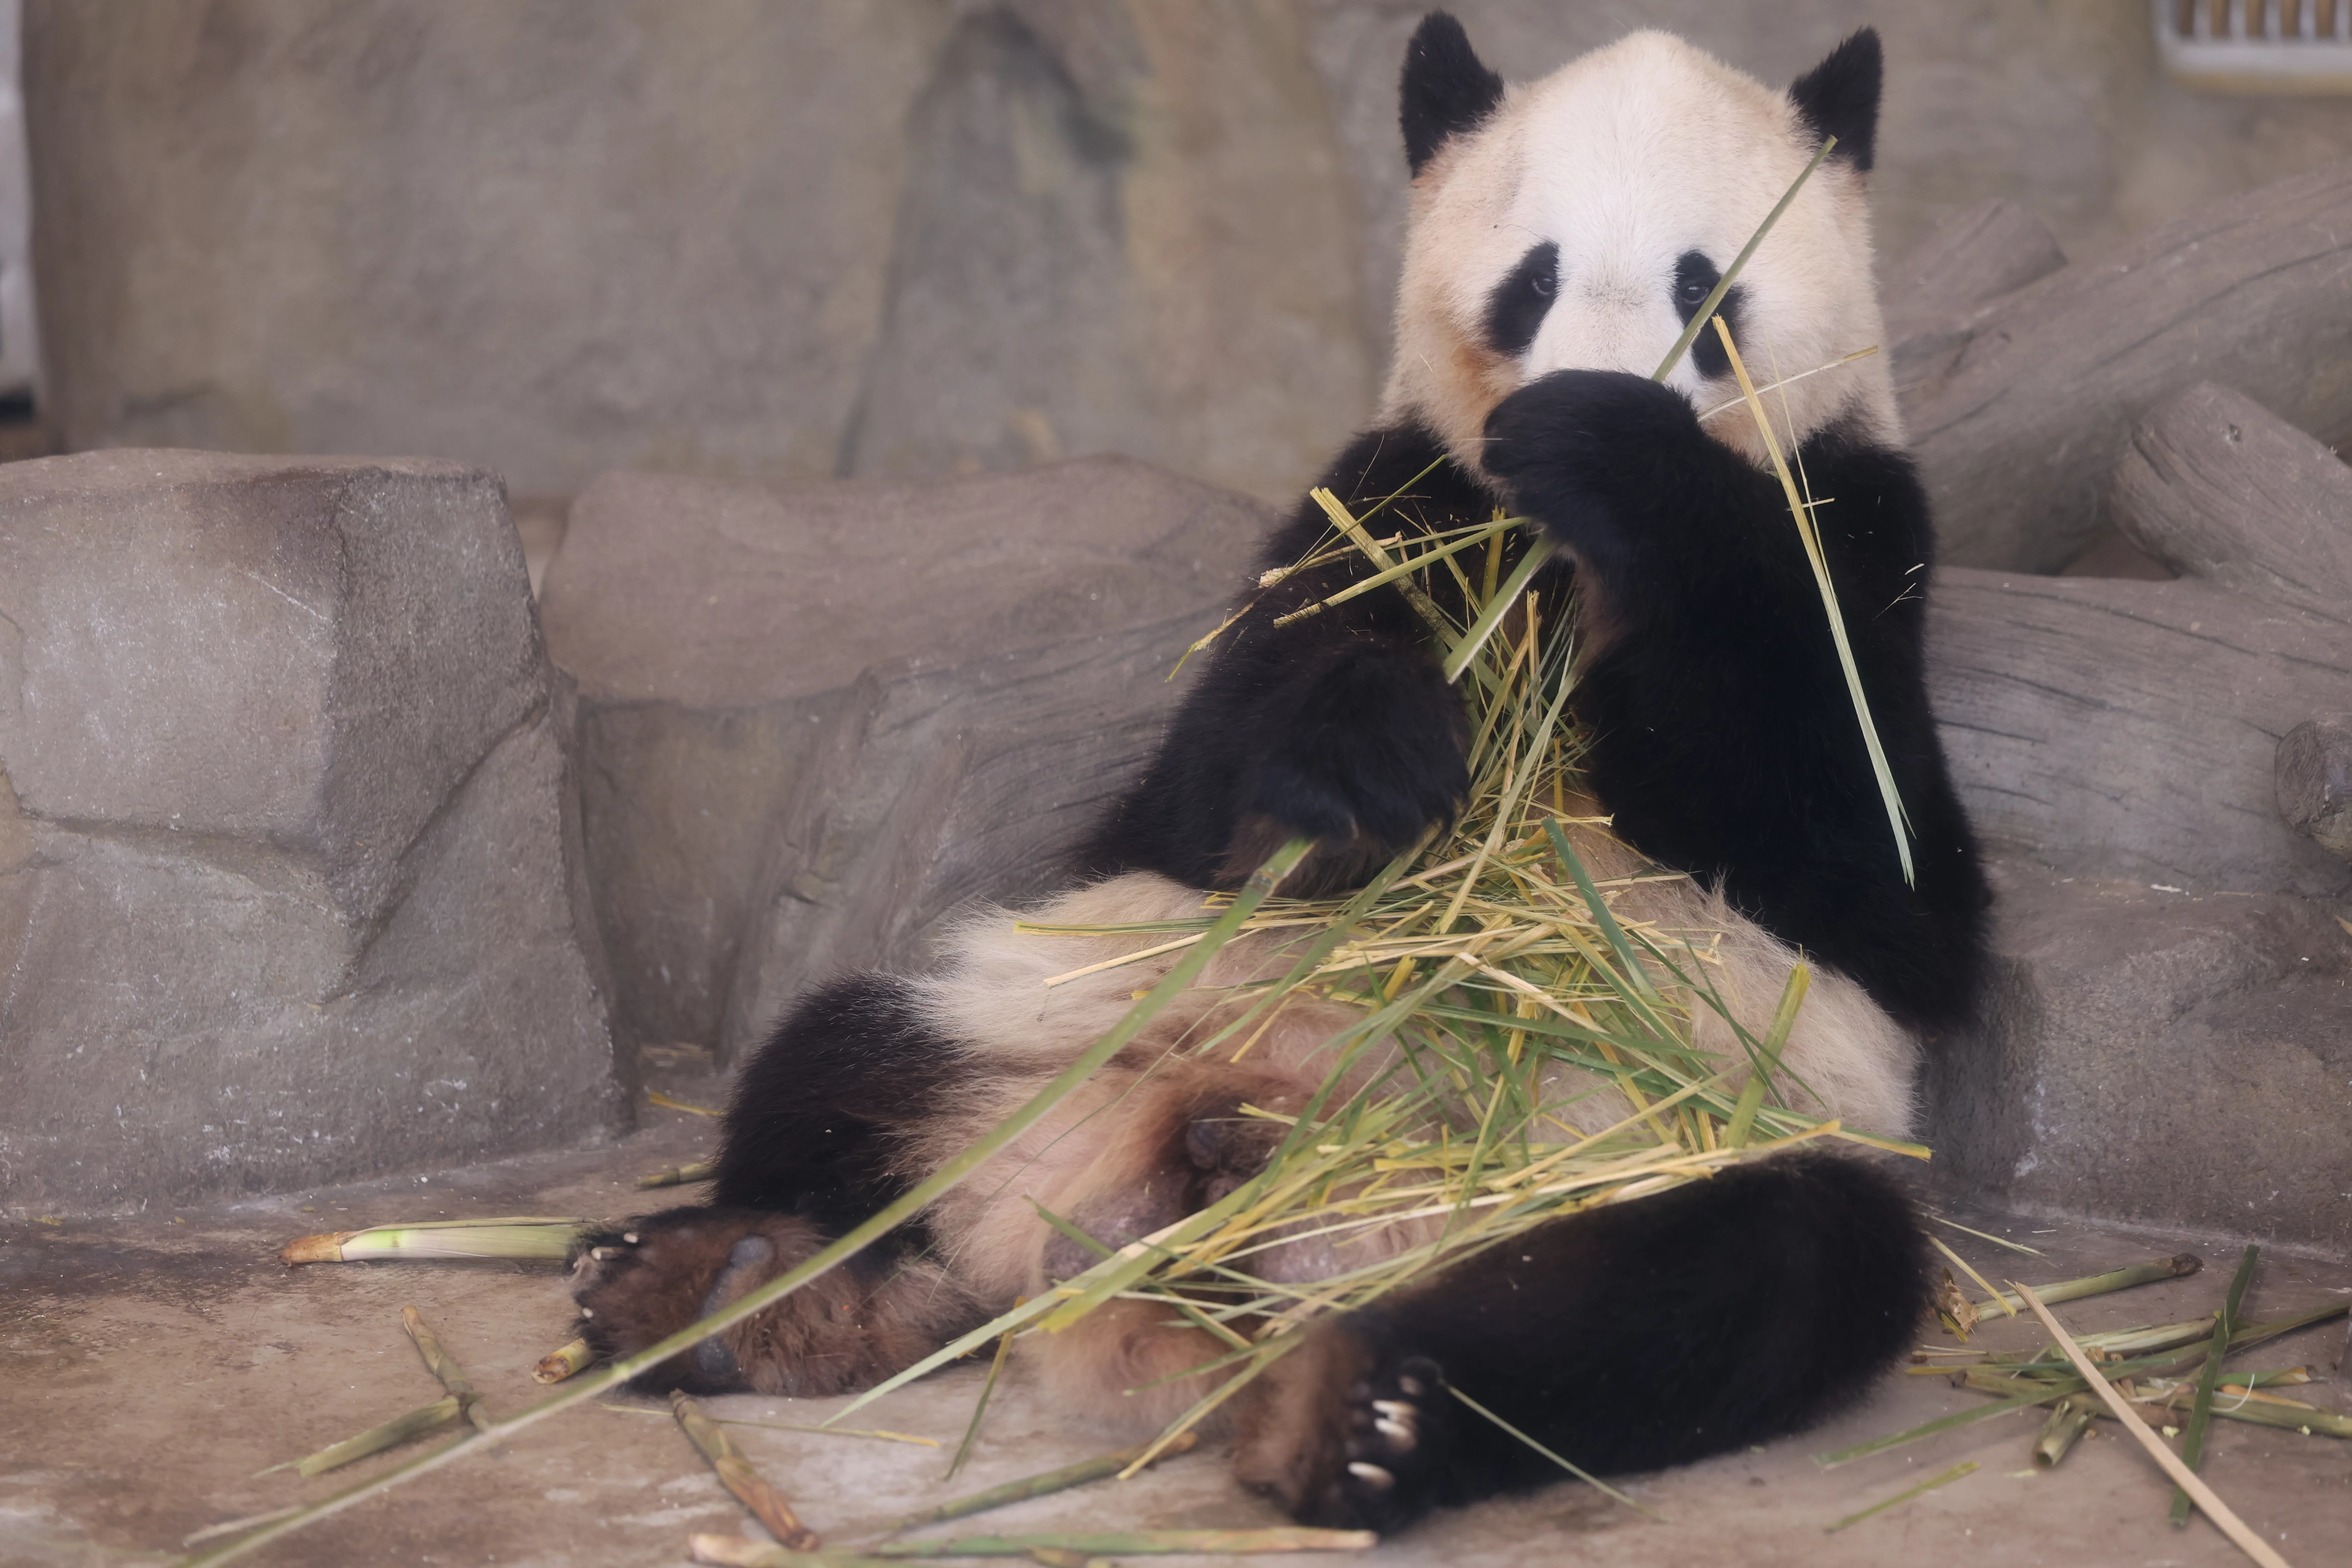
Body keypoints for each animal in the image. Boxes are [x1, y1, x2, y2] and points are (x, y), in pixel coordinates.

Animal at [572, 13, 1991, 1532]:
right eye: (1533, 277)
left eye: (1704, 286)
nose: (1590, 386)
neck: (1558, 570)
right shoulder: (1378, 497)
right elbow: (1206, 785)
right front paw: (1363, 779)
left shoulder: (1860, 539)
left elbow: (1881, 882)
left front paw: (1618, 458)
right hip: (1051, 1022)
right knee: (840, 1068)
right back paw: (734, 1292)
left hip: (1655, 1152)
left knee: (1748, 1277)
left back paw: (1358, 1415)